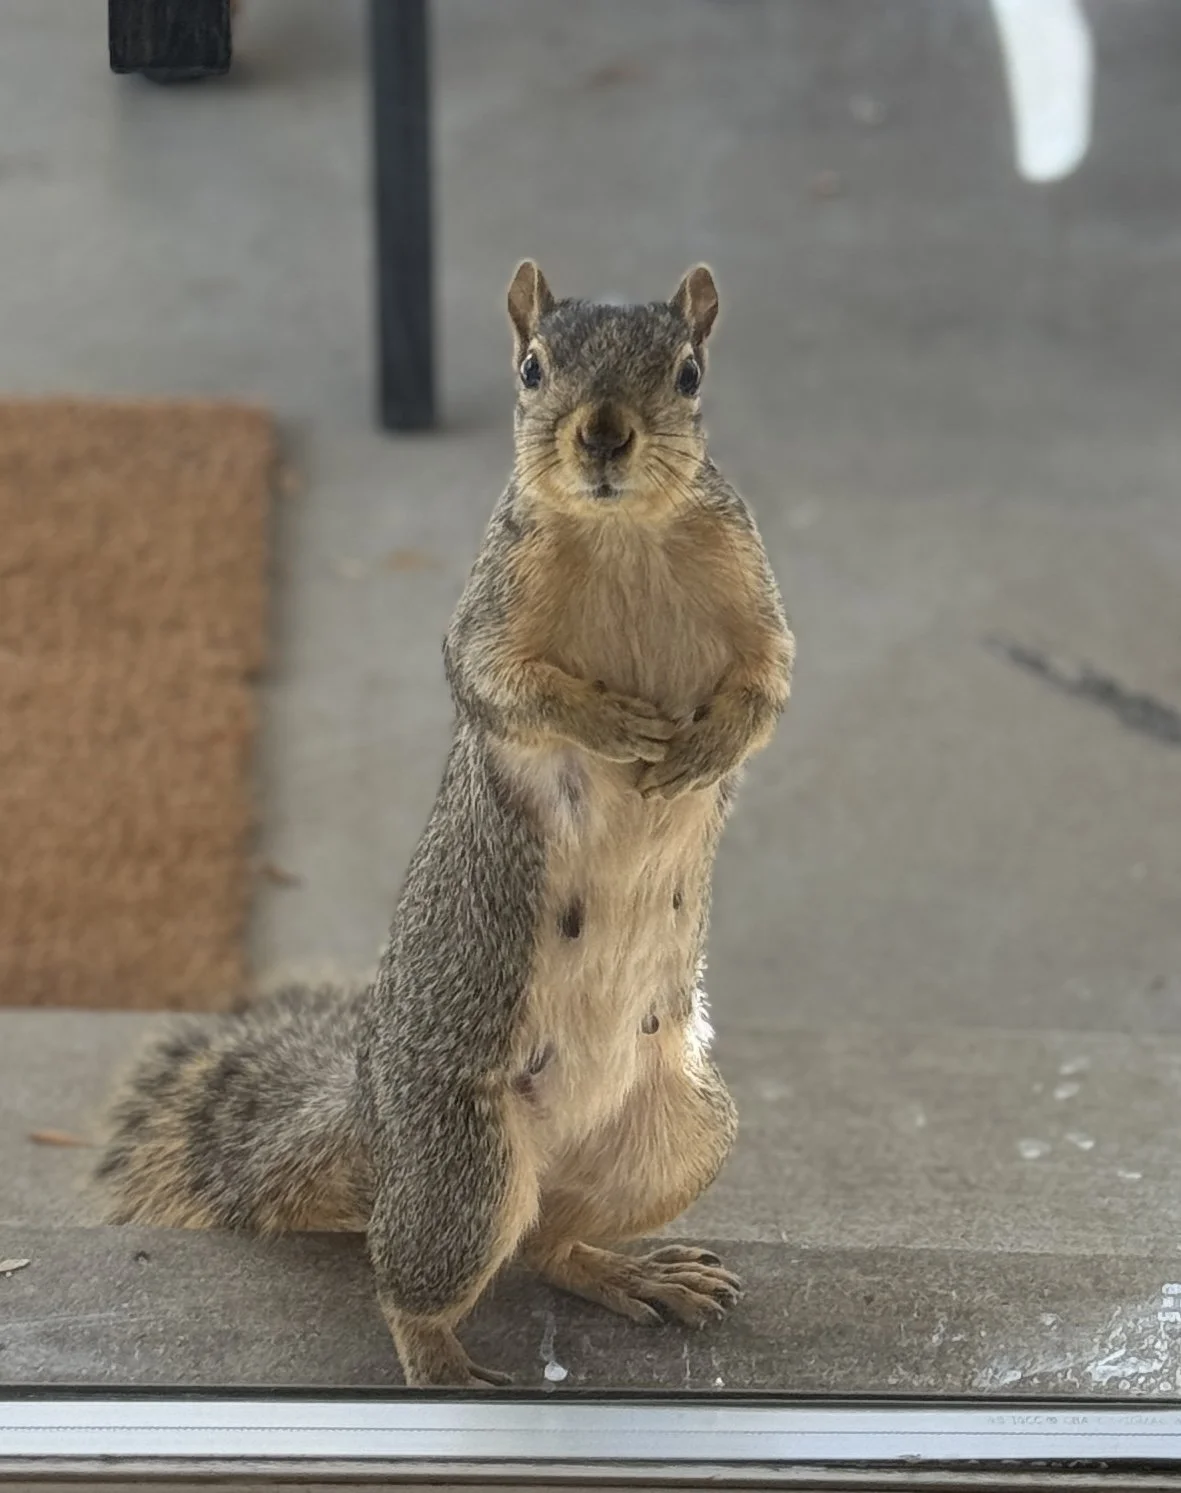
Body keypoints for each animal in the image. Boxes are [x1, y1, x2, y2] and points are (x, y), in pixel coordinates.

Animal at [94, 261, 795, 1388]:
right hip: (462, 1168)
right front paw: (617, 722)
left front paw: (703, 746)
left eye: (688, 374)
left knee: (554, 1240)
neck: (625, 534)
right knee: (416, 1272)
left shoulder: (752, 592)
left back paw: (630, 1270)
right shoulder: (488, 616)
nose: (603, 435)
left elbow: (767, 689)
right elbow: (503, 684)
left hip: (680, 1132)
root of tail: (371, 1122)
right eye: (531, 368)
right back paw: (441, 1362)